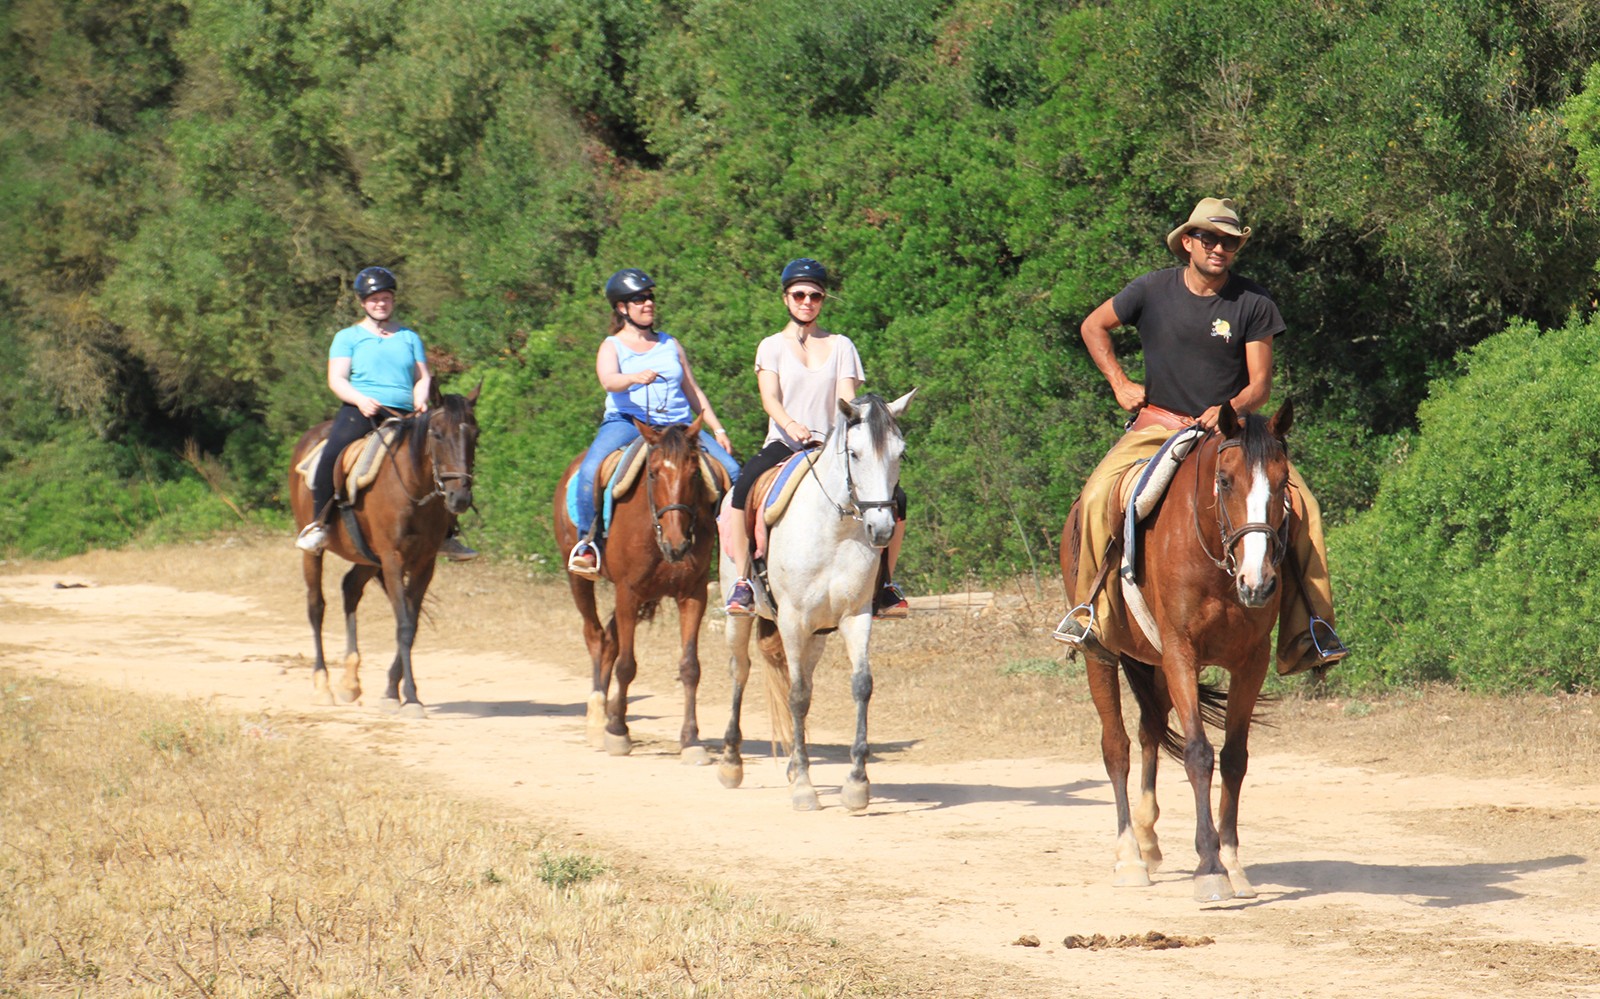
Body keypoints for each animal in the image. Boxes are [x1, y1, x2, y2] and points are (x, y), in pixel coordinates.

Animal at [287, 385, 480, 718]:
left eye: (475, 434)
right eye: (437, 434)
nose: (459, 497)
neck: (411, 489)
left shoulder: (424, 563)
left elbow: (411, 625)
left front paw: (393, 691)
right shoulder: (392, 559)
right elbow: (403, 624)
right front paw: (410, 698)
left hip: (366, 556)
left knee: (350, 589)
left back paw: (350, 682)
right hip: (314, 554)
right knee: (316, 606)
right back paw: (323, 686)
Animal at [552, 417, 721, 763]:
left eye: (694, 473)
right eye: (653, 473)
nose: (677, 544)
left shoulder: (693, 595)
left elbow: (690, 667)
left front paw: (691, 740)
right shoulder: (627, 592)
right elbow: (627, 665)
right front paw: (617, 733)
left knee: (609, 640)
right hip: (580, 579)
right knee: (595, 637)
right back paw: (598, 719)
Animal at [717, 390, 914, 812]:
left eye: (900, 453)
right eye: (854, 453)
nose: (881, 529)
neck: (834, 531)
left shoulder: (856, 616)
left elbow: (860, 685)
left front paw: (857, 783)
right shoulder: (792, 620)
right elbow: (797, 695)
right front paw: (805, 788)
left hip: (818, 634)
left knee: (802, 674)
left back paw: (793, 762)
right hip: (740, 618)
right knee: (740, 671)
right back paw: (730, 762)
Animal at [1059, 401, 1292, 903]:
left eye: (1284, 481)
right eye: (1225, 480)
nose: (1258, 582)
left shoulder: (1251, 663)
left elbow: (1234, 757)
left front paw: (1232, 863)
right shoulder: (1181, 653)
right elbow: (1199, 753)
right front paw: (1210, 868)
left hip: (1153, 663)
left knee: (1148, 731)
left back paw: (1147, 840)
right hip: (1102, 655)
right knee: (1117, 747)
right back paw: (1129, 856)